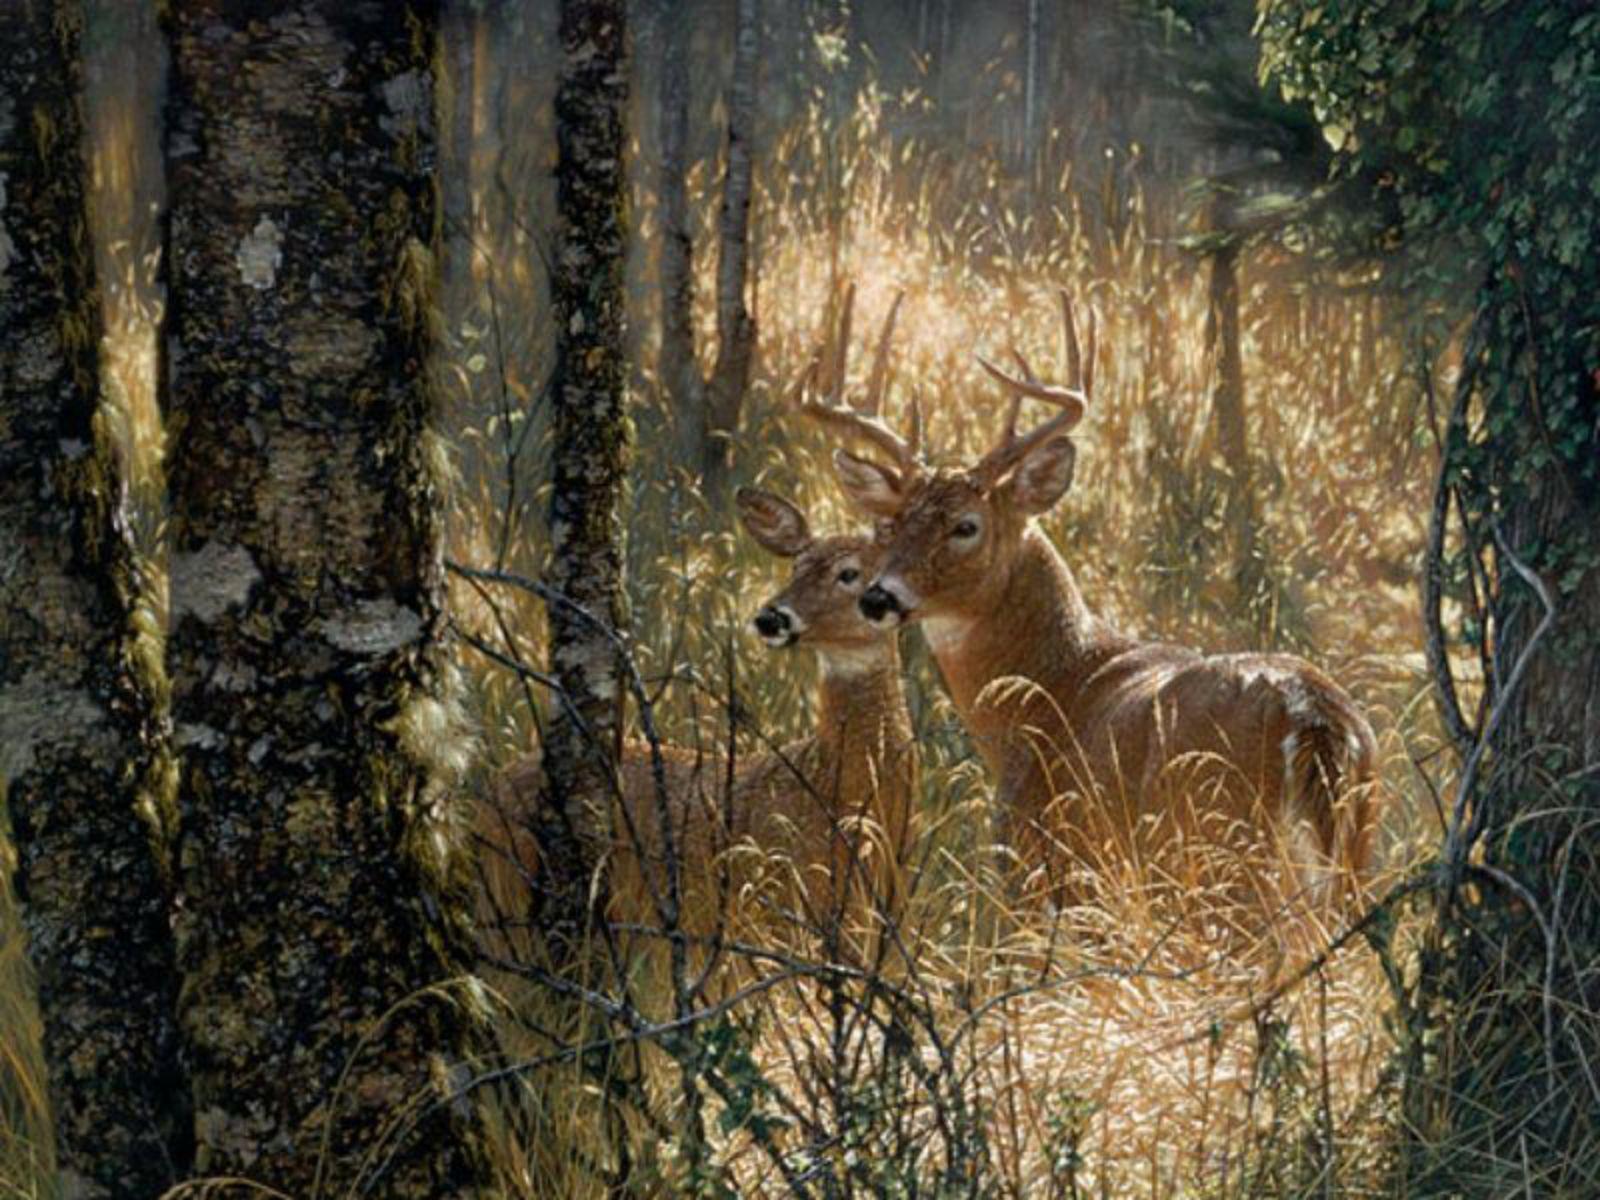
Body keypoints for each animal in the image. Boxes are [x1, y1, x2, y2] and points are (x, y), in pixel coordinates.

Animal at [474, 489, 917, 959]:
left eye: (849, 573)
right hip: (507, 896)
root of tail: (485, 794)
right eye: (795, 567)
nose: (770, 618)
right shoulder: (780, 902)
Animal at [804, 288, 1379, 922]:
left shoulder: (1049, 867)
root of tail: (1314, 718)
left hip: (1220, 856)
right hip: (1354, 854)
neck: (1048, 687)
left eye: (966, 526)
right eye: (891, 524)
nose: (879, 596)